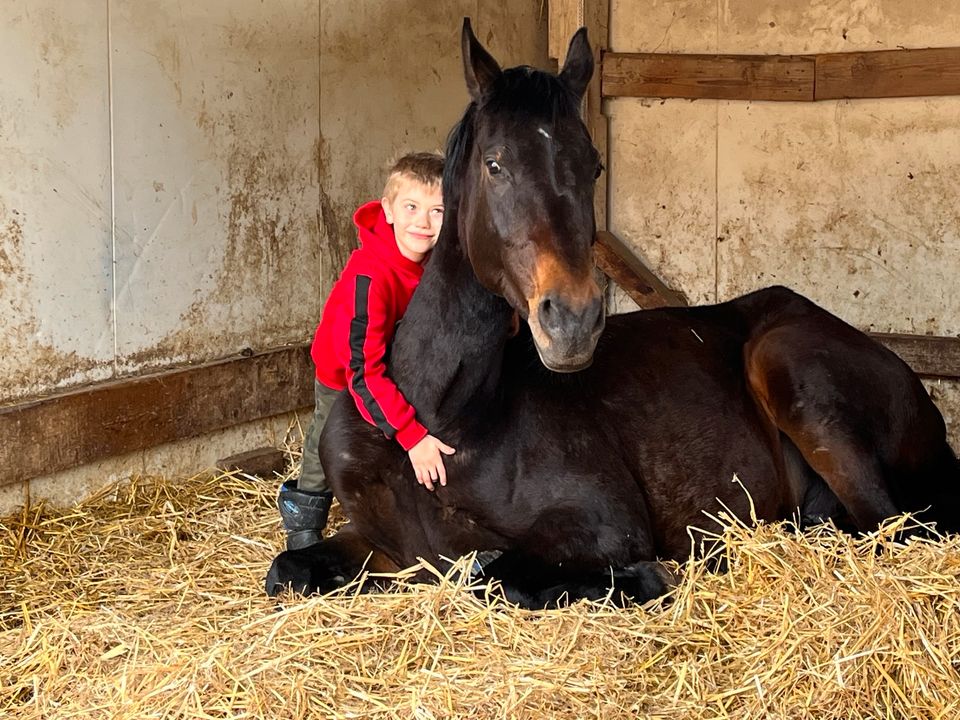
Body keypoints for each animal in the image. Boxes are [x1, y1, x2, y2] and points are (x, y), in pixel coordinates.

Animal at [264, 21, 960, 608]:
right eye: (495, 164)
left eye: (593, 165)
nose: (572, 321)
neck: (439, 417)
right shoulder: (382, 546)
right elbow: (289, 569)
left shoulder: (602, 526)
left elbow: (496, 576)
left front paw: (653, 576)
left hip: (786, 365)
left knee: (893, 528)